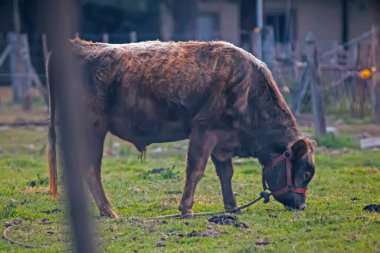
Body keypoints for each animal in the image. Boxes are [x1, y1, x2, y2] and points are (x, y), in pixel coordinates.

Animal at [48, 39, 314, 217]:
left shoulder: (222, 142)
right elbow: (195, 170)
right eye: (305, 173)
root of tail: (79, 45)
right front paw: (186, 209)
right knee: (91, 168)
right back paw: (109, 211)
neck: (247, 88)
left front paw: (233, 208)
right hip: (93, 127)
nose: (301, 205)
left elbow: (225, 173)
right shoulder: (203, 131)